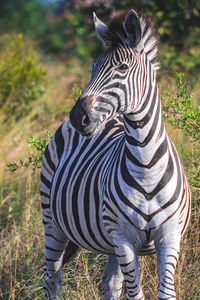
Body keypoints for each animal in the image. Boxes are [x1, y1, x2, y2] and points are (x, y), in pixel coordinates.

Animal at [40, 9, 191, 300]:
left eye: (122, 68)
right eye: (92, 67)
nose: (78, 117)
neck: (146, 165)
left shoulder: (169, 236)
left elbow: (165, 293)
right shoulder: (123, 237)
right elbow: (136, 295)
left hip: (109, 243)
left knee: (110, 284)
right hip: (52, 222)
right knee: (51, 279)